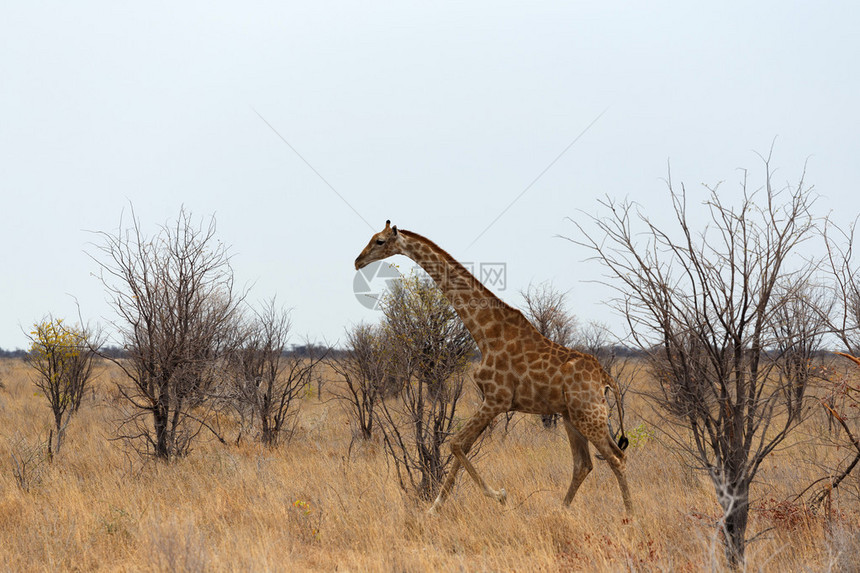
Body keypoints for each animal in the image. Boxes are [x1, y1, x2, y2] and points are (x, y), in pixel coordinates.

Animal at [356, 221, 632, 512]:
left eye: (380, 241)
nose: (357, 261)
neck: (485, 333)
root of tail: (605, 379)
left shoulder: (496, 399)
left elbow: (455, 443)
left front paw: (499, 495)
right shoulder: (491, 400)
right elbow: (460, 446)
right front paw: (435, 508)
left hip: (588, 415)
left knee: (616, 458)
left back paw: (630, 516)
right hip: (572, 416)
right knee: (584, 463)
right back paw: (562, 509)